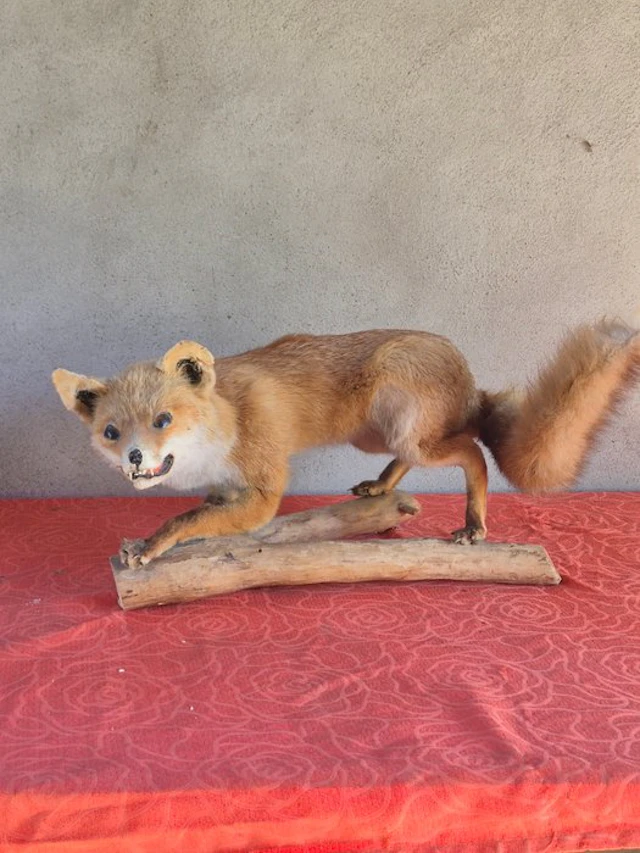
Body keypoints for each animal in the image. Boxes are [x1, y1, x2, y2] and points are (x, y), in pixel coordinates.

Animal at [52, 318, 639, 570]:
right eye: (111, 432)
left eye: (163, 419)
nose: (134, 459)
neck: (226, 421)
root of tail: (468, 380)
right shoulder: (226, 488)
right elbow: (205, 512)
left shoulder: (263, 490)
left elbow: (186, 520)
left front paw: (153, 545)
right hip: (375, 436)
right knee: (418, 456)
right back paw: (381, 487)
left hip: (408, 426)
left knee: (472, 450)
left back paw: (474, 524)